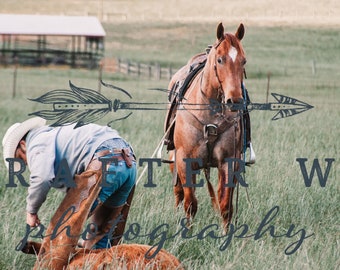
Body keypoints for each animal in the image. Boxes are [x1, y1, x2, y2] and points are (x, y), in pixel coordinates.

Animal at [165, 22, 247, 232]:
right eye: (220, 59)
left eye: (243, 61)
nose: (235, 101)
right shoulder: (184, 160)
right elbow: (190, 203)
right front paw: (187, 231)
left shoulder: (229, 161)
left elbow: (225, 205)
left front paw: (226, 235)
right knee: (178, 192)